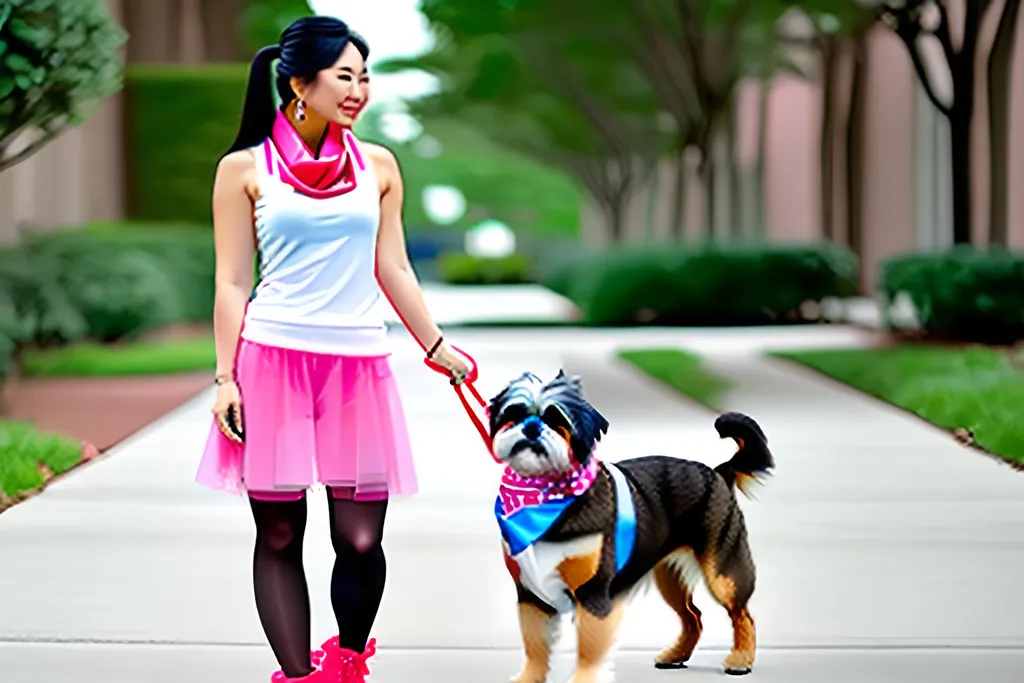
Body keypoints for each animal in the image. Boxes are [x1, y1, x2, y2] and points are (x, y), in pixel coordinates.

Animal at [489, 374, 774, 683]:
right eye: (514, 414)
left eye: (557, 419)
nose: (531, 427)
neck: (543, 495)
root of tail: (720, 472)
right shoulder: (530, 595)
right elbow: (535, 646)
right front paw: (528, 679)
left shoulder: (593, 595)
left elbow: (588, 651)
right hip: (669, 577)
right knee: (693, 617)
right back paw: (676, 655)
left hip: (723, 573)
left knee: (742, 614)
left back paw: (741, 659)